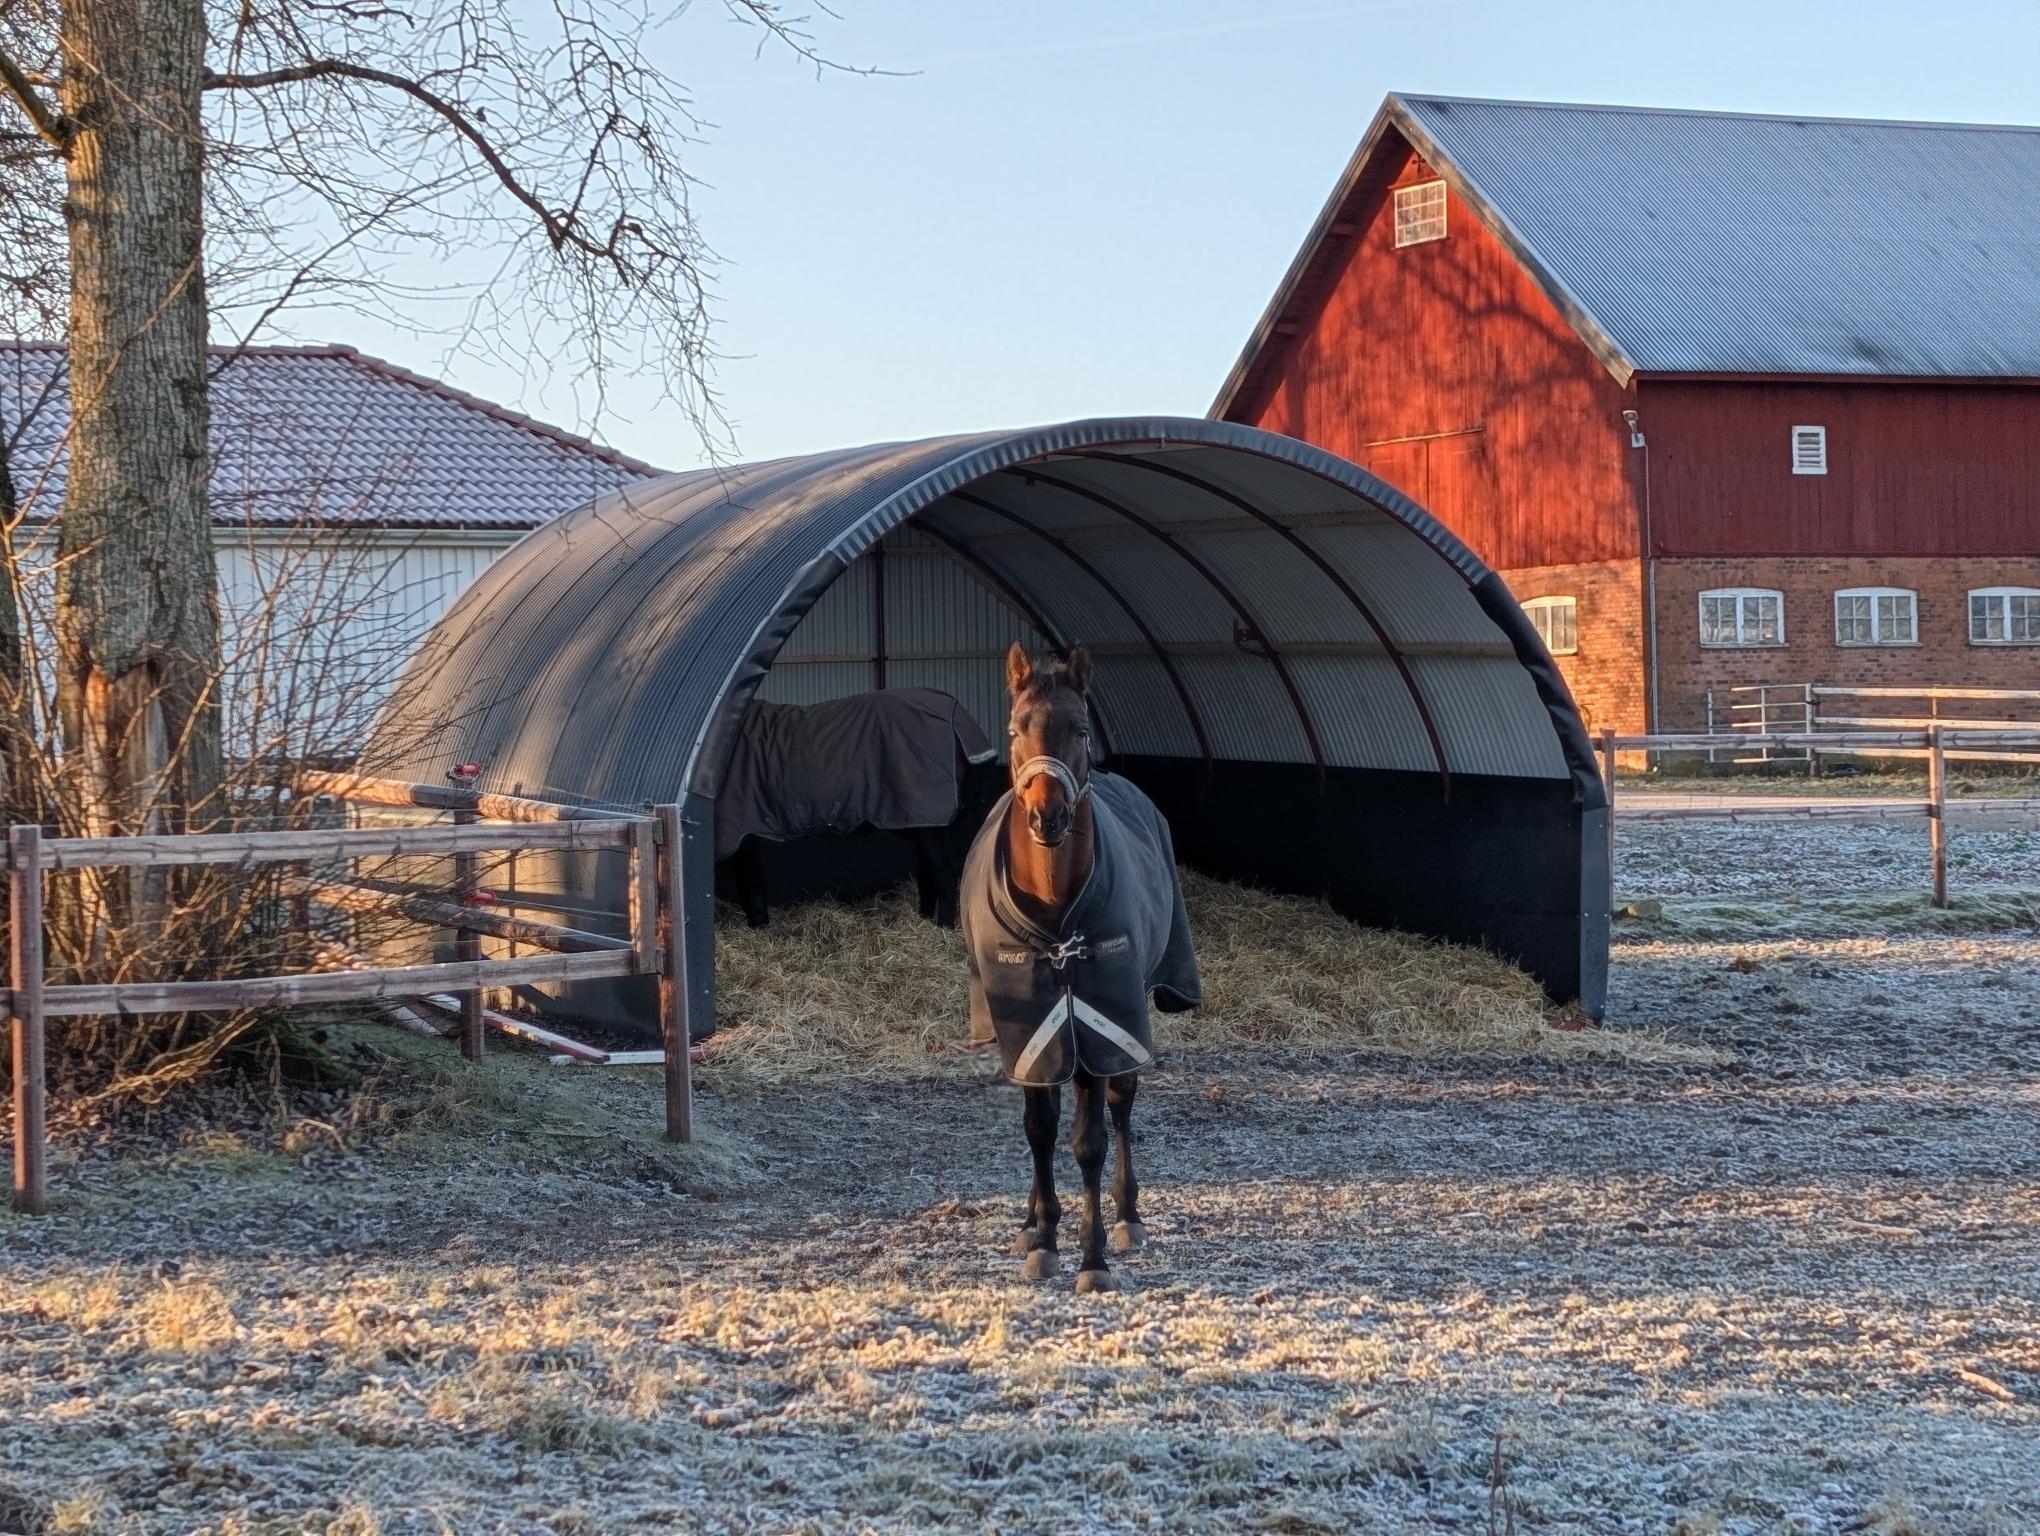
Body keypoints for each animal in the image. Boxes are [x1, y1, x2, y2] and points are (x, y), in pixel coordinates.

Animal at [363, 416, 1607, 1044]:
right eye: (1033, 719)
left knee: (926, 861)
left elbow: (757, 881)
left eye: (1088, 723)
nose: (1050, 795)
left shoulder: (752, 830)